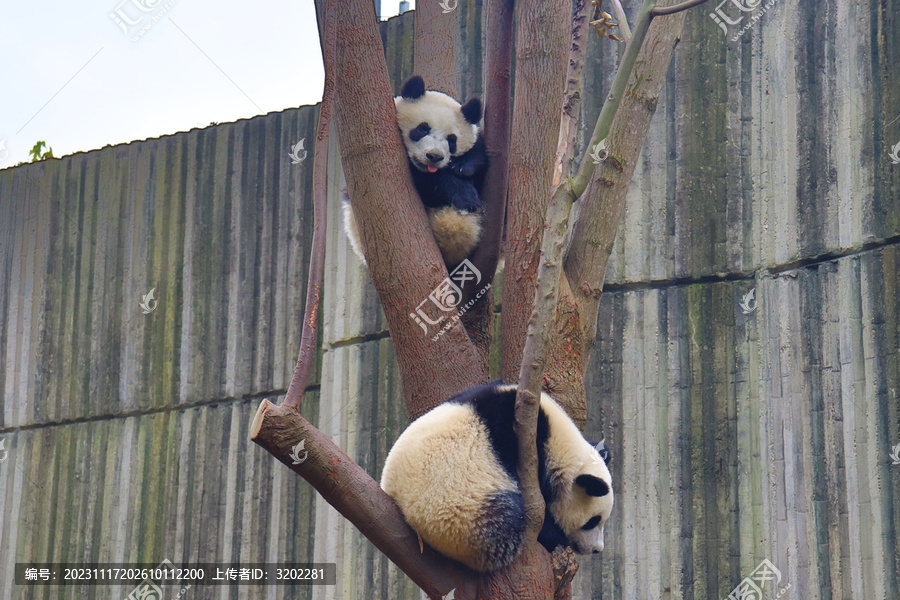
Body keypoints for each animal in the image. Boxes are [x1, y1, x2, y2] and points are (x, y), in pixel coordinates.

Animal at [342, 75, 488, 268]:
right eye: (422, 128)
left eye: (451, 140)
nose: (434, 156)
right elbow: (431, 181)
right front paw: (467, 198)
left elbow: (478, 152)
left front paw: (463, 166)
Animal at [376, 382, 616, 576]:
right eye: (592, 521)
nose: (597, 549)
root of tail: (395, 497)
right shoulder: (521, 439)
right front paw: (554, 534)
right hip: (456, 514)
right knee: (507, 523)